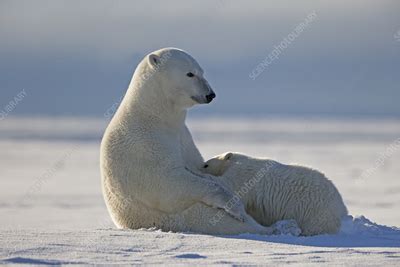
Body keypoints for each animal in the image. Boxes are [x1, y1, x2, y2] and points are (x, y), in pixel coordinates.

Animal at [101, 48, 276, 237]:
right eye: (190, 73)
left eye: (202, 71)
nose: (210, 94)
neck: (154, 116)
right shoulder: (144, 147)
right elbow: (169, 182)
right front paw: (234, 206)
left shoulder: (184, 138)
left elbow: (199, 166)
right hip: (185, 217)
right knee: (216, 220)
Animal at [203, 153, 346, 237]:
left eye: (206, 164)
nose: (202, 165)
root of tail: (341, 208)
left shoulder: (244, 174)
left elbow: (229, 185)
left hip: (315, 212)